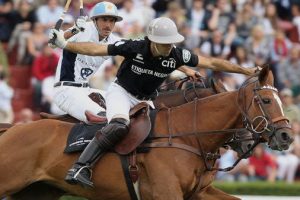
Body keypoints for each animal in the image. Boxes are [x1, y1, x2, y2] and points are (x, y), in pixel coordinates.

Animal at [0, 67, 292, 200]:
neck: (186, 134)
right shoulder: (166, 193)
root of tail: (13, 128)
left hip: (38, 191)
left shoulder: (198, 192)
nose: (287, 136)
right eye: (266, 100)